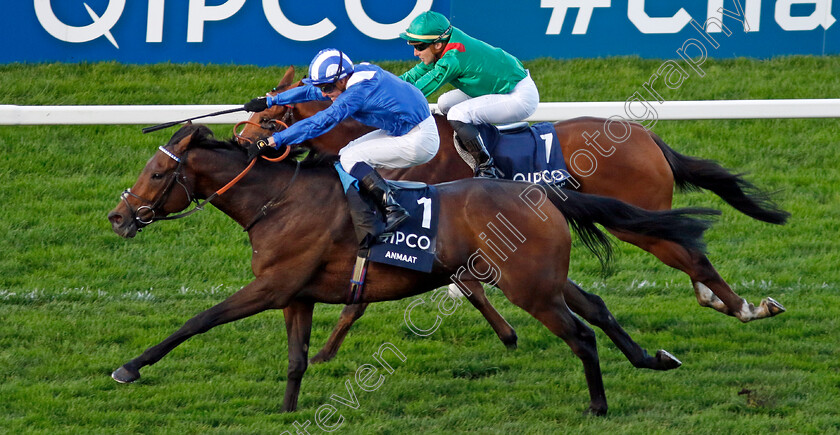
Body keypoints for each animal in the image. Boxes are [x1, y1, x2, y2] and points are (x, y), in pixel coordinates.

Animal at [108, 123, 720, 416]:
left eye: (157, 174)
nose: (118, 216)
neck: (279, 200)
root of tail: (543, 194)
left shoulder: (272, 285)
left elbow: (200, 319)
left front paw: (130, 367)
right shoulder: (297, 295)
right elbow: (297, 360)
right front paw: (286, 410)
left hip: (530, 288)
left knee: (582, 335)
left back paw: (598, 405)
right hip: (542, 277)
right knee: (596, 307)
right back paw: (652, 359)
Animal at [240, 67, 792, 362]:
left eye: (268, 119)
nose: (242, 143)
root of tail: (647, 136)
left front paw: (324, 350)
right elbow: (464, 286)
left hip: (638, 219)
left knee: (692, 255)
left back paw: (746, 307)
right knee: (689, 251)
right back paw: (720, 301)